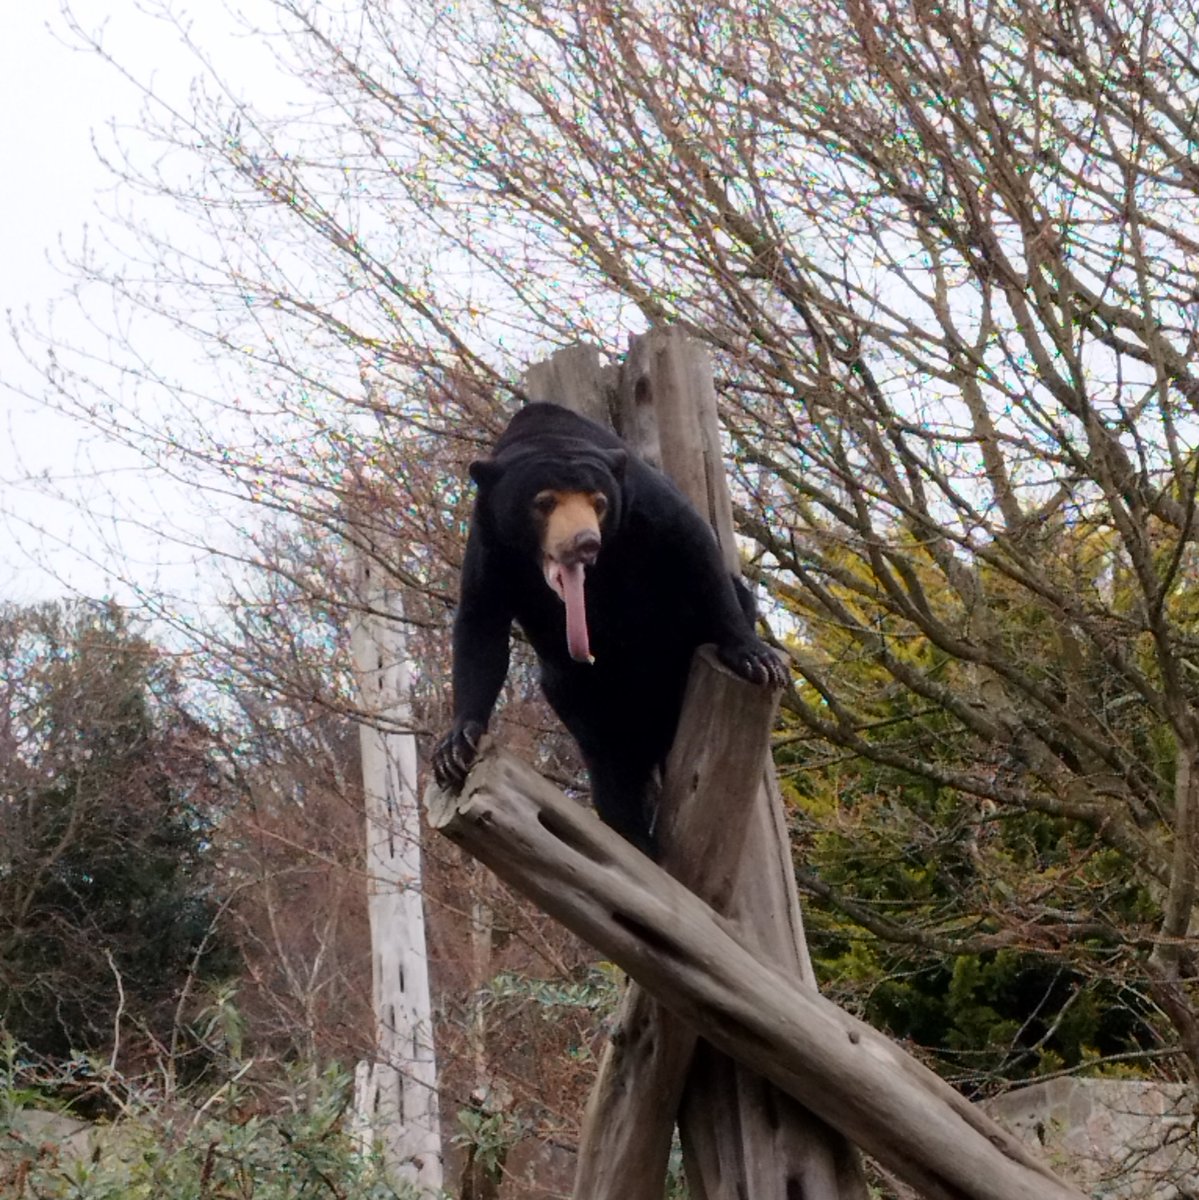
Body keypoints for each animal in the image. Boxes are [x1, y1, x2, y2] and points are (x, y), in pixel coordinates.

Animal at [431, 401, 787, 854]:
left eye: (598, 502)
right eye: (544, 501)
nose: (585, 542)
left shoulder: (645, 504)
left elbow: (696, 549)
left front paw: (757, 660)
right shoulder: (490, 542)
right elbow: (480, 625)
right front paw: (454, 749)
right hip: (580, 695)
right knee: (611, 767)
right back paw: (635, 838)